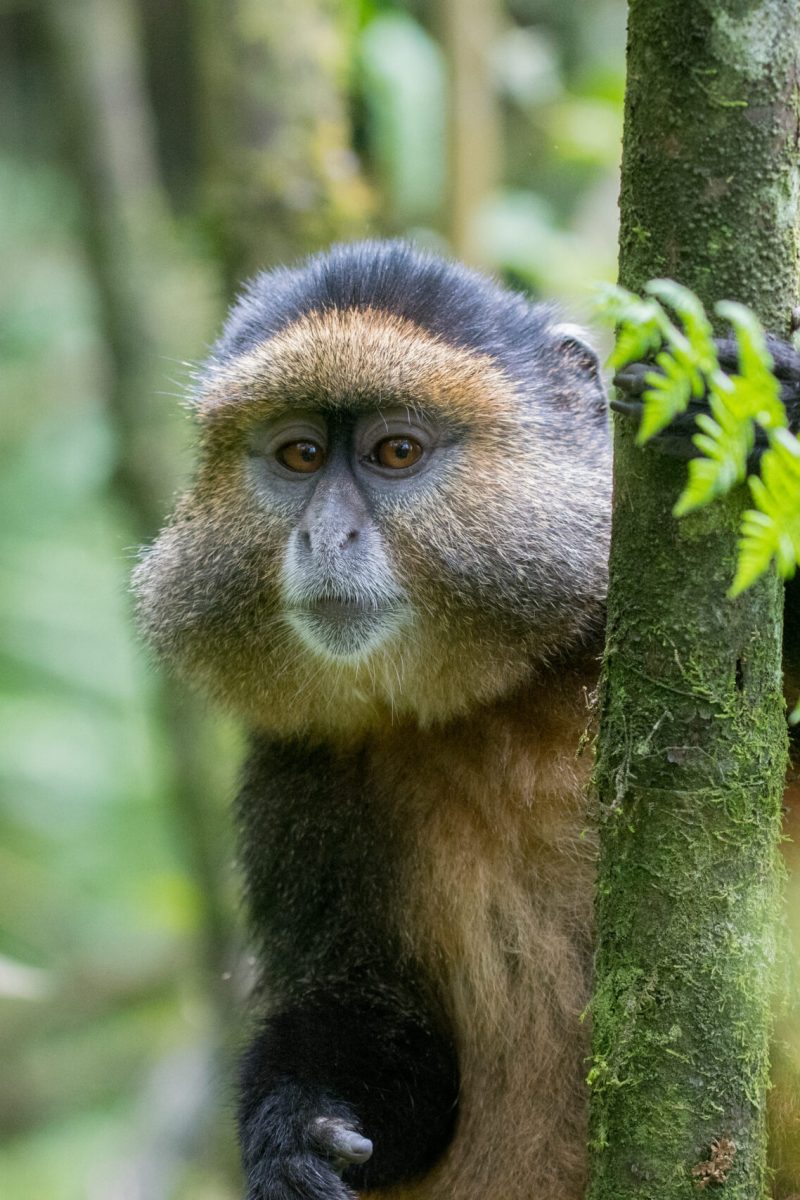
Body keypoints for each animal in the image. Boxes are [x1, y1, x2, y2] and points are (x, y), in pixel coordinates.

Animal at [133, 239, 800, 1200]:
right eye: (300, 455)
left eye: (396, 450)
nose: (324, 536)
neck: (505, 696)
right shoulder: (300, 771)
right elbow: (388, 1035)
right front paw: (293, 1134)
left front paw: (762, 413)